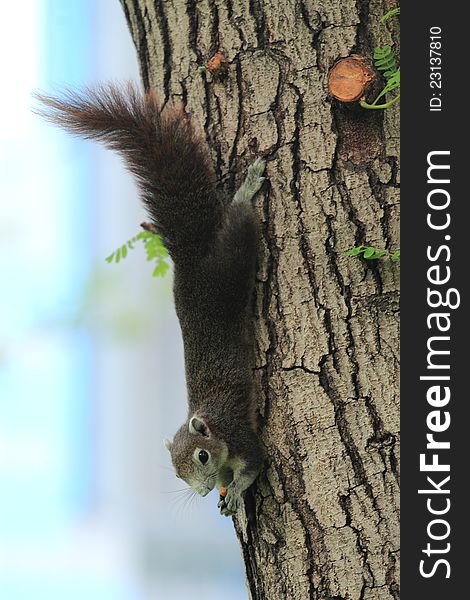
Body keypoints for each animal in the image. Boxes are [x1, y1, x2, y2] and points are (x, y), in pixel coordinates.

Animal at [35, 83, 266, 516]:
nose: (202, 492)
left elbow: (256, 464)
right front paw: (226, 492)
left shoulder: (239, 433)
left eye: (201, 456)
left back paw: (249, 186)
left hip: (229, 264)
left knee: (240, 220)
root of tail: (190, 259)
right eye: (176, 473)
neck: (213, 428)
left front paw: (237, 489)